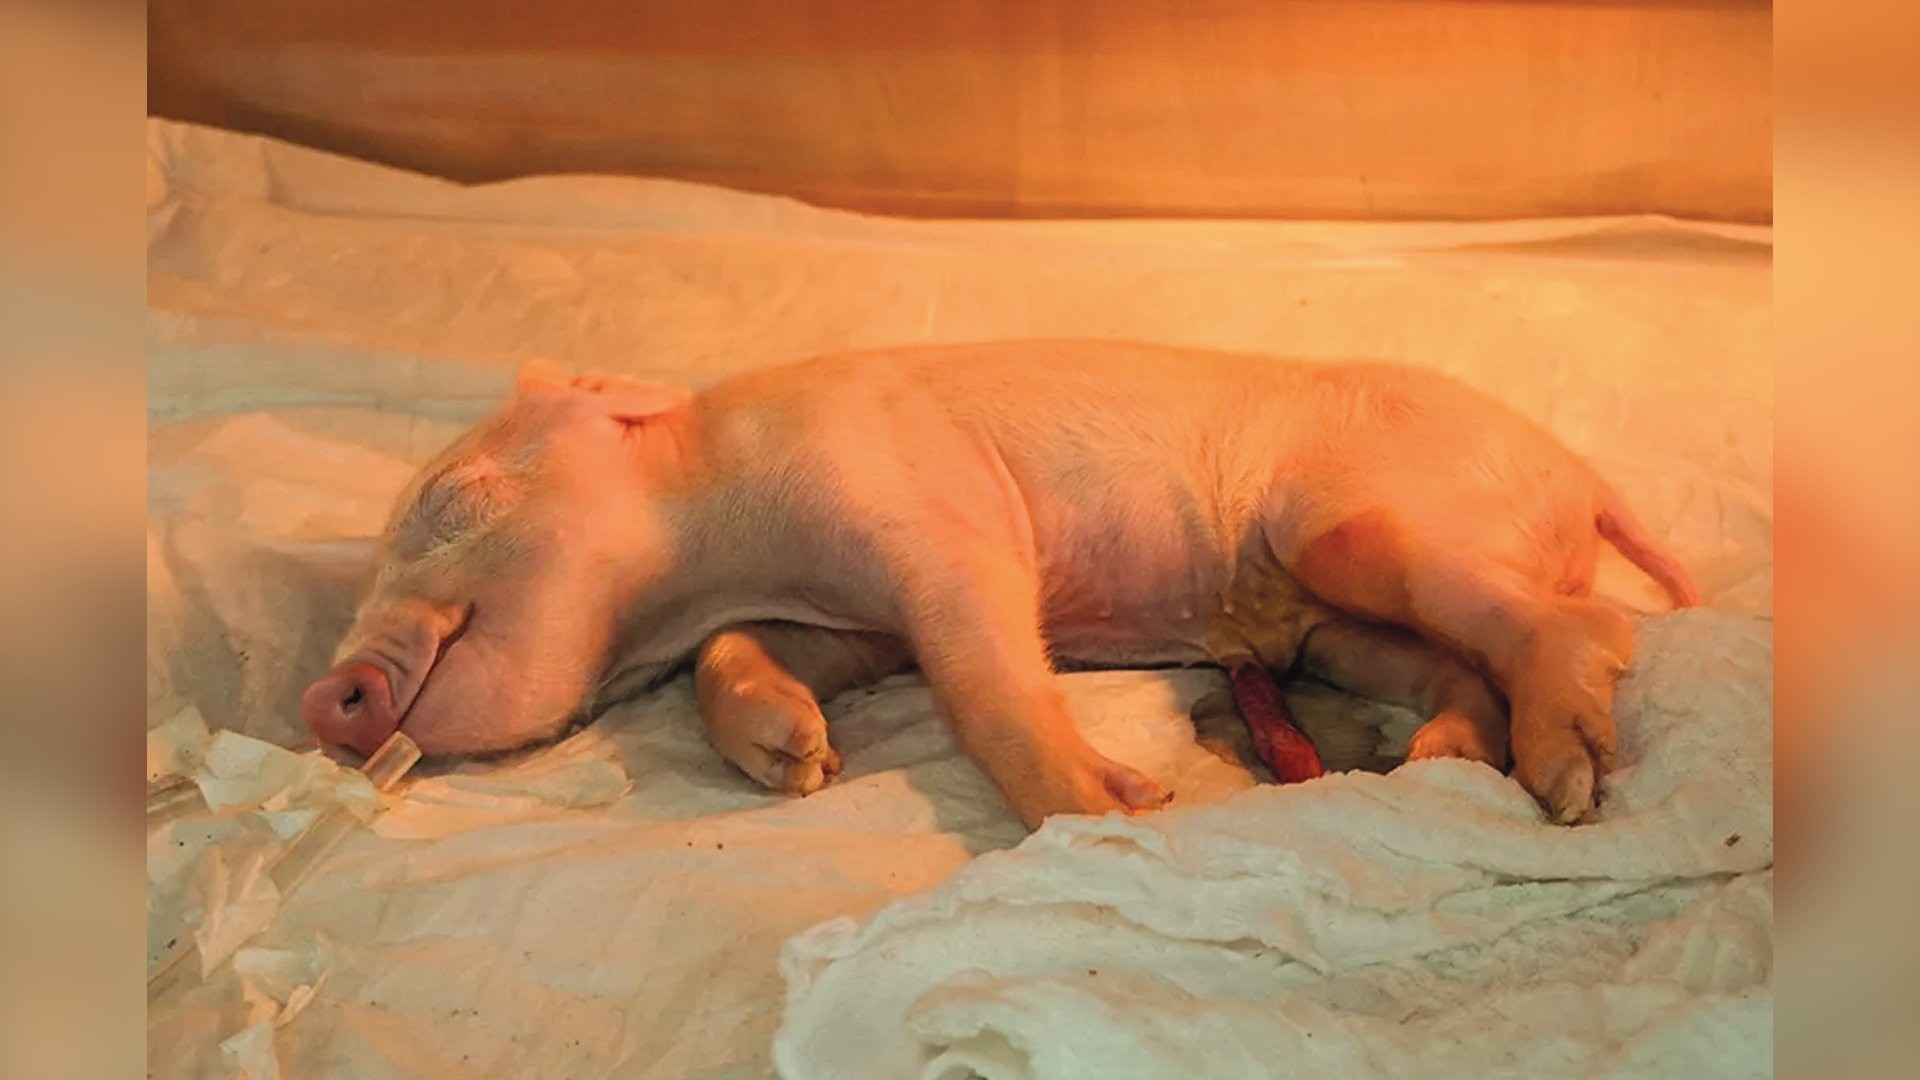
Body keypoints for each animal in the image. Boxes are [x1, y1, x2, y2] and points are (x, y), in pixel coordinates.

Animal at [302, 341, 1699, 828]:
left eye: (447, 500)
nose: (322, 700)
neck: (716, 550)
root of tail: (1582, 477)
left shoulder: (929, 507)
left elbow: (982, 671)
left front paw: (1121, 809)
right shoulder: (843, 621)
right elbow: (742, 661)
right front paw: (796, 763)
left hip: (1351, 529)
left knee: (1587, 621)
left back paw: (1567, 782)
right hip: (1331, 632)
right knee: (1453, 666)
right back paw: (1441, 760)